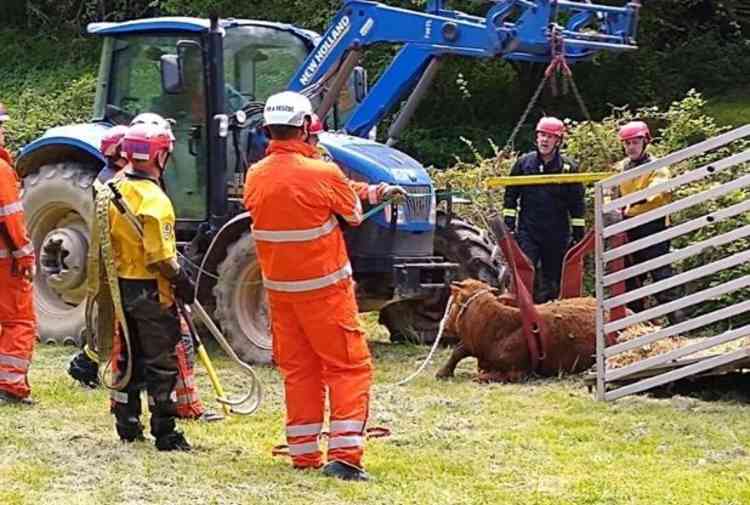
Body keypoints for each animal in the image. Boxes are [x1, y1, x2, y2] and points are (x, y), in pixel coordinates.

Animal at [434, 278, 600, 380]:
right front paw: (443, 373)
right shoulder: (472, 345)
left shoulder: (517, 372)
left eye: (453, 303)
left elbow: (482, 377)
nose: (444, 326)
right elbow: (459, 351)